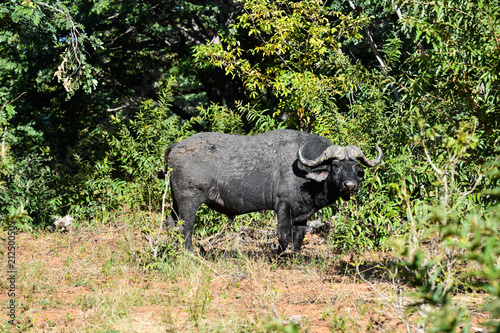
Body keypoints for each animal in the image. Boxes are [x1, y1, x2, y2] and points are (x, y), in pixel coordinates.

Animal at [158, 128, 380, 253]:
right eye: (336, 165)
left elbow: (299, 237)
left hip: (176, 201)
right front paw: (278, 255)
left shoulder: (303, 214)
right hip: (189, 200)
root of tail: (177, 146)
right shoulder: (283, 207)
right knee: (185, 228)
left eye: (355, 166)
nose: (350, 186)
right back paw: (190, 254)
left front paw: (296, 258)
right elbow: (283, 235)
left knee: (171, 223)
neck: (305, 174)